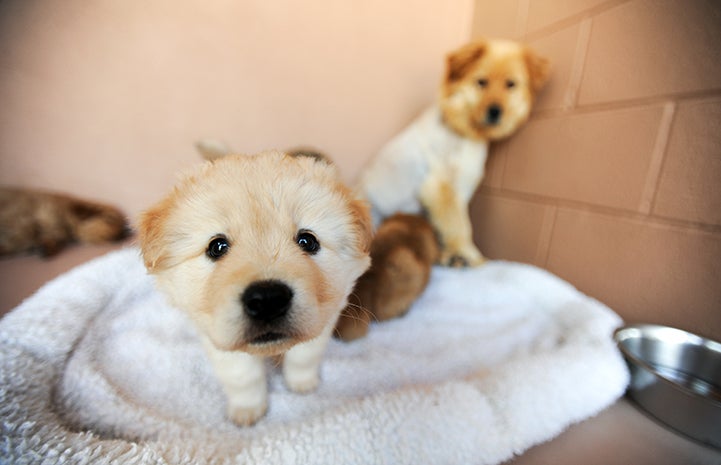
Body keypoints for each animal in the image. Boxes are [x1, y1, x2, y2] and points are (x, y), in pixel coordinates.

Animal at [138, 151, 372, 424]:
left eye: (307, 241)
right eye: (217, 247)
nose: (268, 300)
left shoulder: (325, 315)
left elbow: (304, 355)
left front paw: (302, 384)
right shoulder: (217, 335)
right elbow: (242, 376)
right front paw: (248, 409)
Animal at [358, 38, 548, 266]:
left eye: (510, 84)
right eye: (481, 82)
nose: (495, 111)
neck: (463, 134)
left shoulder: (461, 188)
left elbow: (453, 226)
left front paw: (455, 254)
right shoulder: (441, 187)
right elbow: (460, 227)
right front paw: (476, 259)